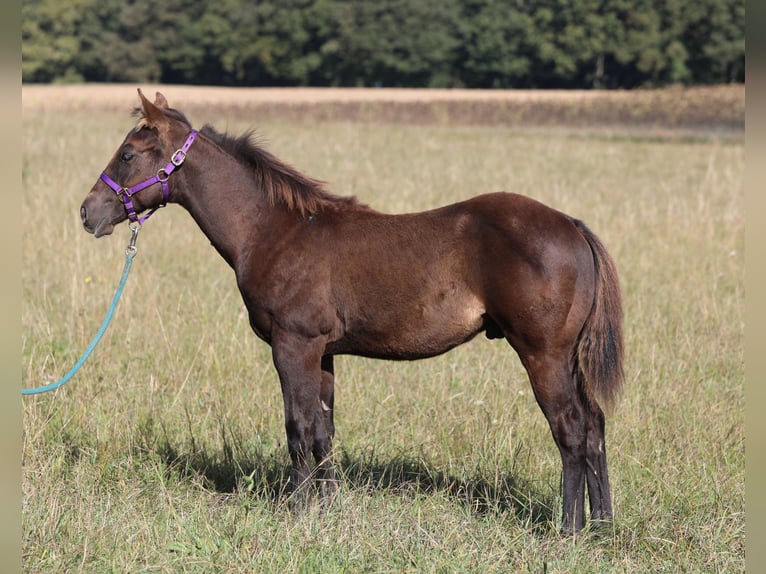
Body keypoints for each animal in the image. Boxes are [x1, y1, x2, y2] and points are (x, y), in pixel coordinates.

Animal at [79, 90, 624, 536]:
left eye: (128, 154)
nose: (88, 213)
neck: (274, 230)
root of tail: (571, 225)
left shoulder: (293, 345)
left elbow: (297, 429)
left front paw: (298, 513)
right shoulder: (323, 352)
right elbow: (324, 432)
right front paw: (328, 510)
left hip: (543, 355)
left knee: (571, 430)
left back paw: (570, 529)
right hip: (567, 358)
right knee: (595, 426)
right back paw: (602, 526)